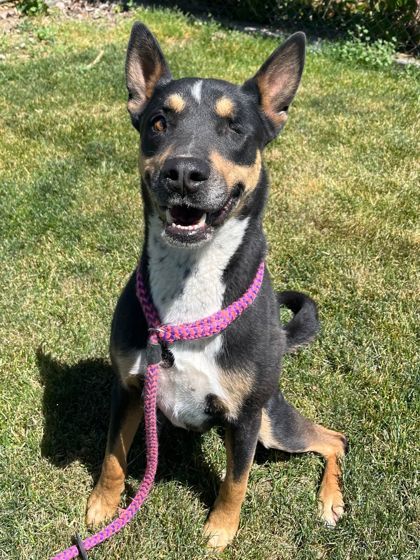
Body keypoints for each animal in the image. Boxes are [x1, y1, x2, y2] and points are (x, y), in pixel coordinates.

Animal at [84, 23, 344, 552]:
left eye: (235, 128)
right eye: (159, 122)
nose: (183, 173)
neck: (191, 285)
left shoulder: (244, 418)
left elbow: (235, 480)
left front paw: (220, 533)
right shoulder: (129, 387)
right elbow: (113, 457)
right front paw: (101, 510)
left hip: (271, 422)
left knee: (335, 439)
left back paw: (330, 501)